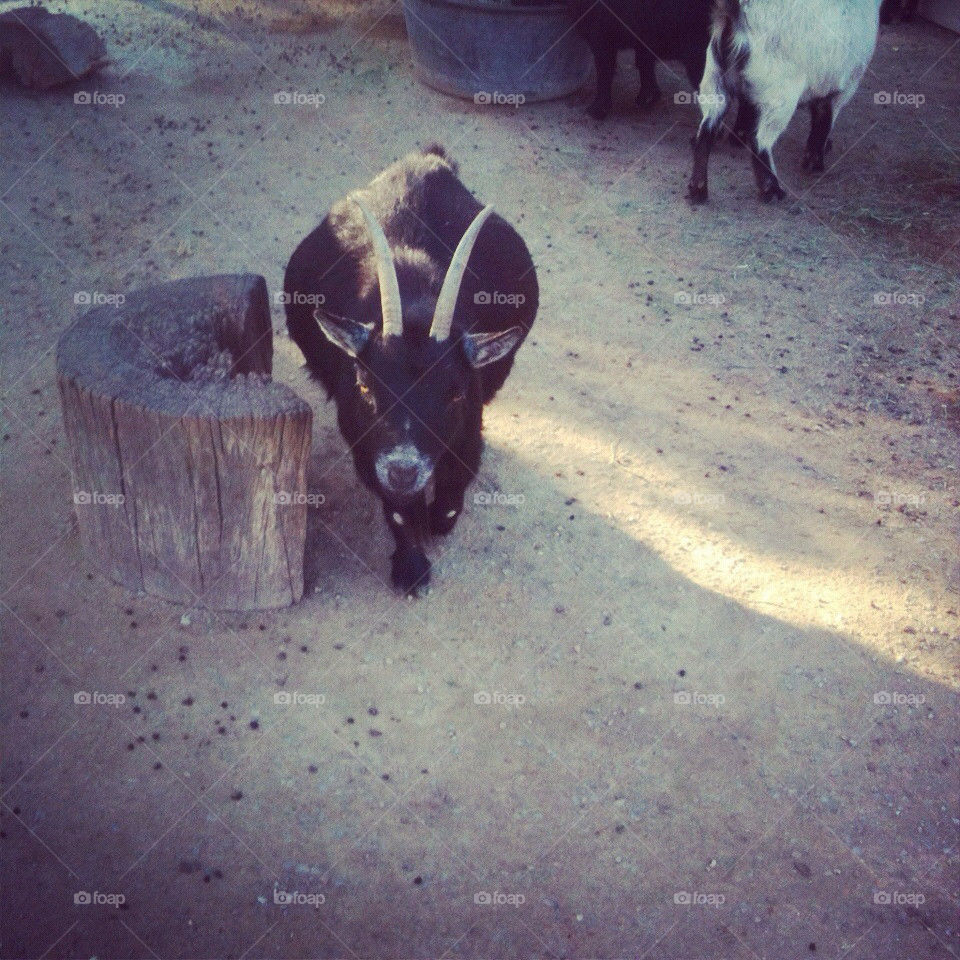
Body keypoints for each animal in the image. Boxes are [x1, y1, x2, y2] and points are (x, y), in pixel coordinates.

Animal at [284, 146, 540, 592]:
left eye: (455, 392)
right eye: (365, 388)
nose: (404, 468)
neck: (417, 298)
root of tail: (426, 159)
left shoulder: (469, 426)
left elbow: (450, 500)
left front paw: (432, 522)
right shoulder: (367, 444)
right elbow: (399, 508)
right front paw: (410, 569)